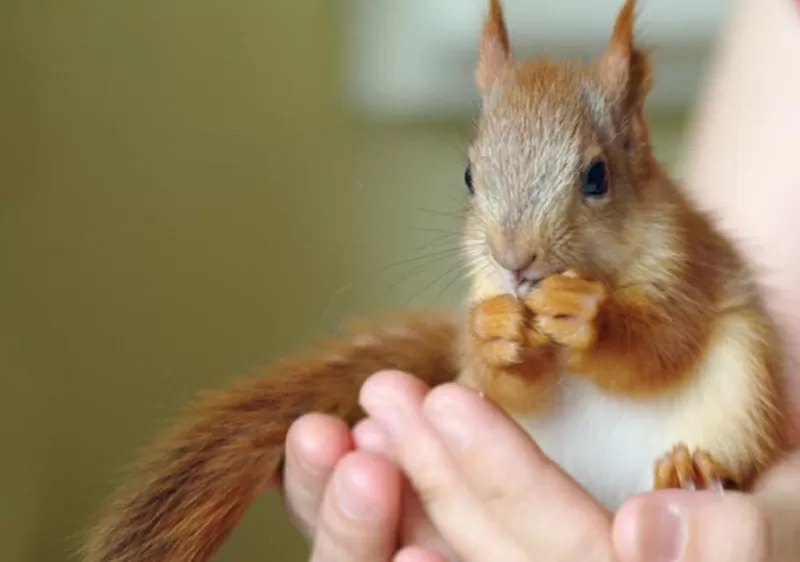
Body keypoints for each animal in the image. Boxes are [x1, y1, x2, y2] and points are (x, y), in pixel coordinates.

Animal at [83, 2, 788, 556]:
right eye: (470, 175)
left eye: (597, 177)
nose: (515, 260)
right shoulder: (485, 290)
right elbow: (510, 386)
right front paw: (499, 335)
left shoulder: (685, 264)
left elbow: (664, 340)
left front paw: (588, 314)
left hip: (742, 387)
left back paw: (690, 467)